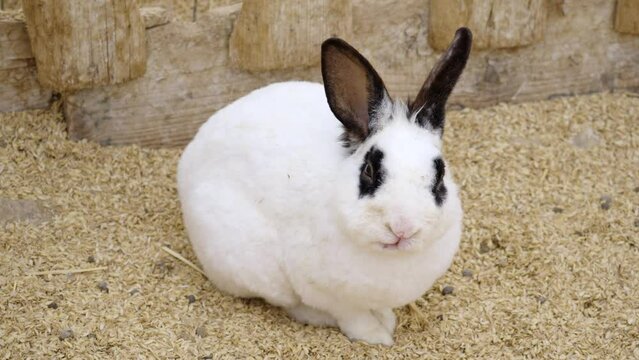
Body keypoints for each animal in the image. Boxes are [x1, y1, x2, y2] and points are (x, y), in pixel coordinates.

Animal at [178, 27, 472, 346]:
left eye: (439, 175)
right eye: (369, 170)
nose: (403, 227)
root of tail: (188, 159)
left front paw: (386, 319)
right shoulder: (330, 296)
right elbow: (352, 317)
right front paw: (377, 336)